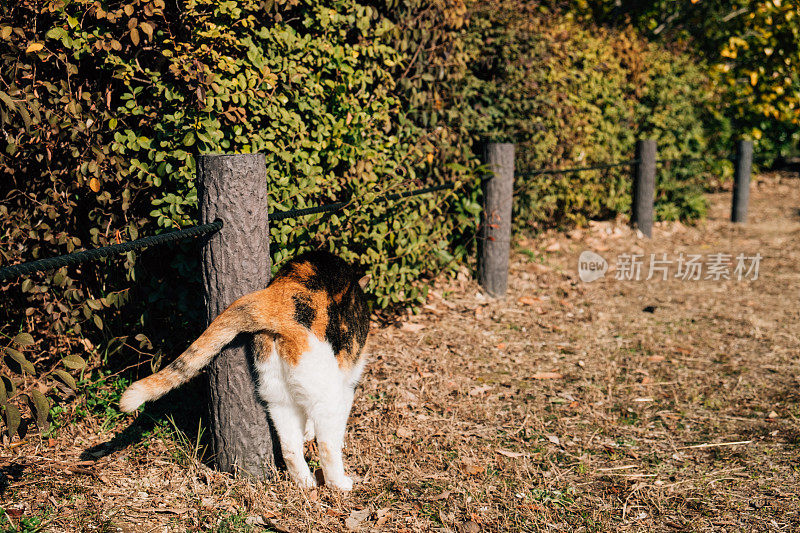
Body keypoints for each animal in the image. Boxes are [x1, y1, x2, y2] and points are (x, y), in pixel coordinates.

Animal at [119, 251, 368, 488]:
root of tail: (277, 297)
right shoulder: (348, 385)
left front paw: (307, 431)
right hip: (324, 390)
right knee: (326, 445)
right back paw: (339, 485)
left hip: (277, 394)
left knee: (289, 448)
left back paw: (305, 484)